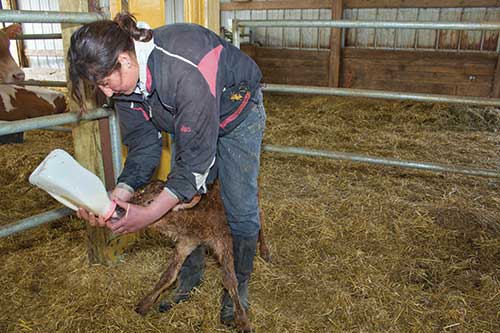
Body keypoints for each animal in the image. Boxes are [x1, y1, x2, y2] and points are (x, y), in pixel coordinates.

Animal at [129, 180, 270, 330]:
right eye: (138, 192)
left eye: (151, 202)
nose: (124, 209)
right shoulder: (186, 242)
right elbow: (169, 275)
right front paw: (144, 305)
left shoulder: (224, 238)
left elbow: (229, 280)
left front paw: (242, 321)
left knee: (259, 217)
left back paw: (264, 250)